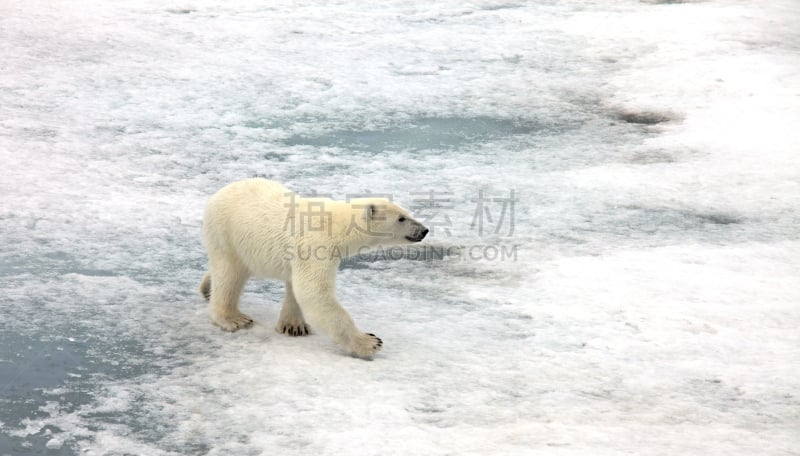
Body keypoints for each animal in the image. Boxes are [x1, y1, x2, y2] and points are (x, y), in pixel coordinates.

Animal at [198, 177, 428, 356]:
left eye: (406, 212)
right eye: (401, 218)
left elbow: (297, 287)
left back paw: (207, 287)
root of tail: (217, 194)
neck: (336, 226)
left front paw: (294, 326)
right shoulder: (315, 246)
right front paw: (369, 342)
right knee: (229, 275)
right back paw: (233, 318)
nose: (424, 230)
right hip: (226, 234)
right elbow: (315, 292)